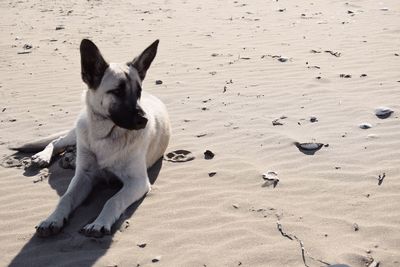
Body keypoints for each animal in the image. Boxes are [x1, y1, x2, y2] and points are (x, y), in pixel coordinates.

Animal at [10, 38, 170, 238]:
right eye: (117, 91)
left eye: (138, 91)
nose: (144, 120)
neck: (105, 136)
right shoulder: (83, 177)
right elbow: (66, 198)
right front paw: (52, 219)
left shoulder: (137, 182)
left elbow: (113, 200)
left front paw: (99, 223)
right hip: (77, 132)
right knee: (57, 141)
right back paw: (44, 156)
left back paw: (69, 159)